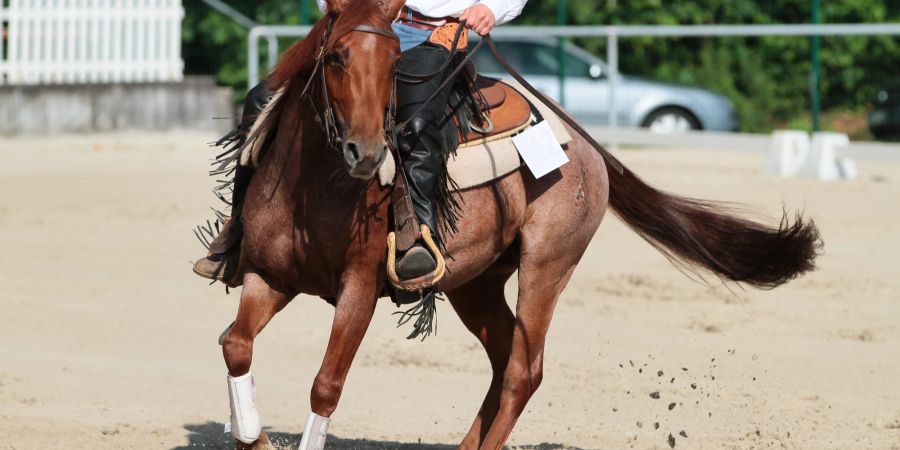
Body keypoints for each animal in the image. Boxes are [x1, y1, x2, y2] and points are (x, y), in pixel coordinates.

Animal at [220, 0, 824, 446]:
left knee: (522, 371)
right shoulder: (268, 276)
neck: (311, 187)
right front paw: (251, 433)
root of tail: (586, 147)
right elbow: (236, 345)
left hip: (547, 263)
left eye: (393, 64)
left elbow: (326, 385)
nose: (366, 153)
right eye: (338, 57)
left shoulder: (359, 290)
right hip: (476, 283)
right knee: (503, 356)